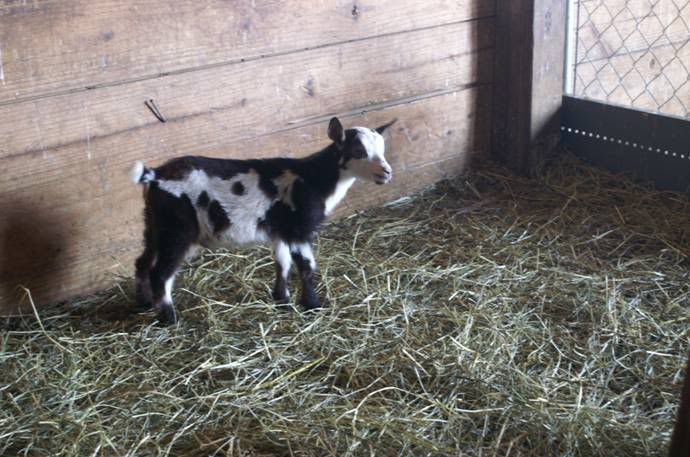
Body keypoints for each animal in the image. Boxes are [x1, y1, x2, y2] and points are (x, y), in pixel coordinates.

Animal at [129, 117, 395, 324]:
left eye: (382, 149)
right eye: (358, 152)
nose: (387, 173)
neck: (313, 179)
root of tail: (154, 176)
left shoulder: (281, 230)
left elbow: (282, 263)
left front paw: (282, 300)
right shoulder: (300, 229)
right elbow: (306, 267)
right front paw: (312, 306)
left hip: (154, 224)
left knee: (142, 262)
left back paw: (144, 302)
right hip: (177, 229)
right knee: (161, 273)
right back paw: (169, 318)